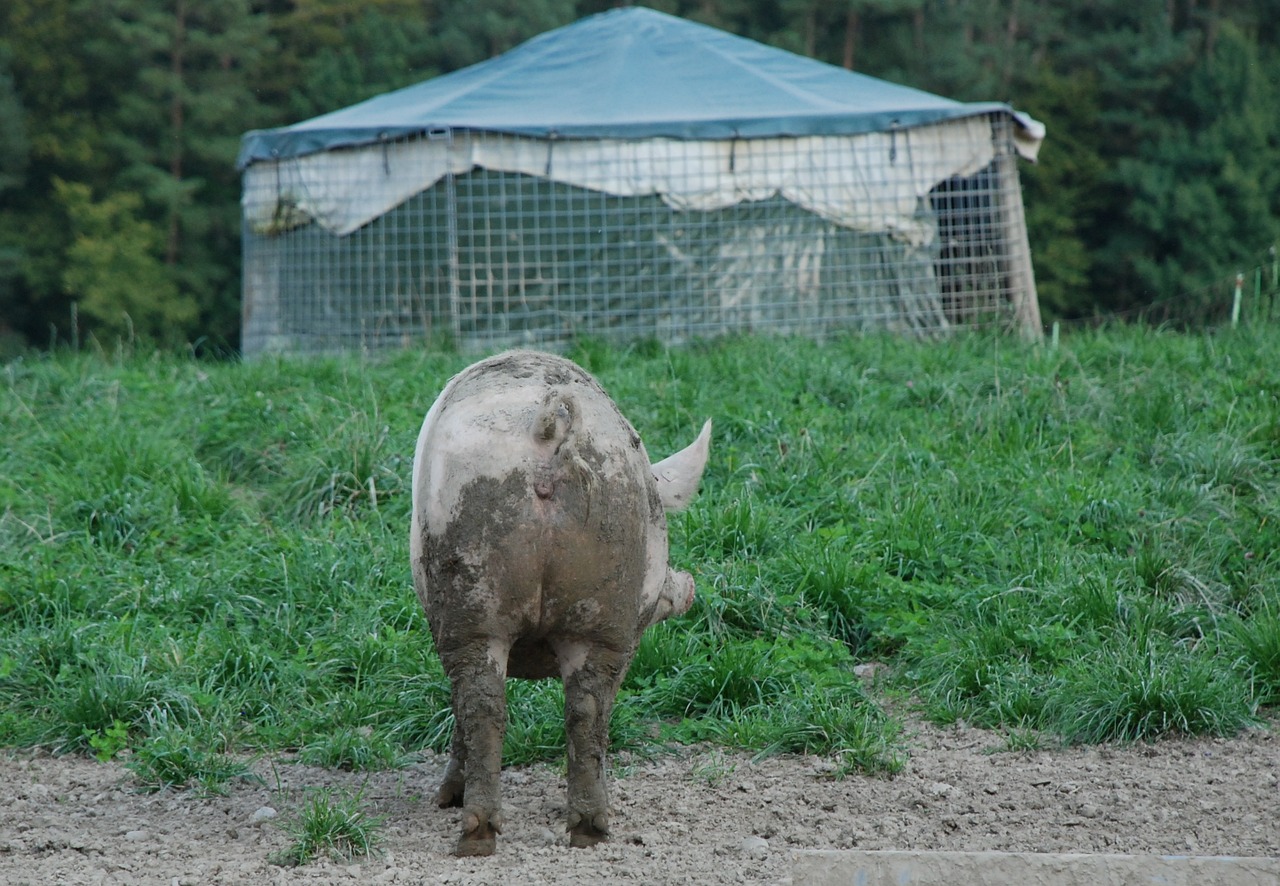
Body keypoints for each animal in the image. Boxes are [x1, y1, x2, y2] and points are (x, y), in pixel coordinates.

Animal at [409, 350, 711, 855]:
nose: (688, 588)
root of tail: (547, 430)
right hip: (605, 594)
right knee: (584, 709)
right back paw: (586, 831)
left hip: (472, 597)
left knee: (480, 702)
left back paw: (474, 834)